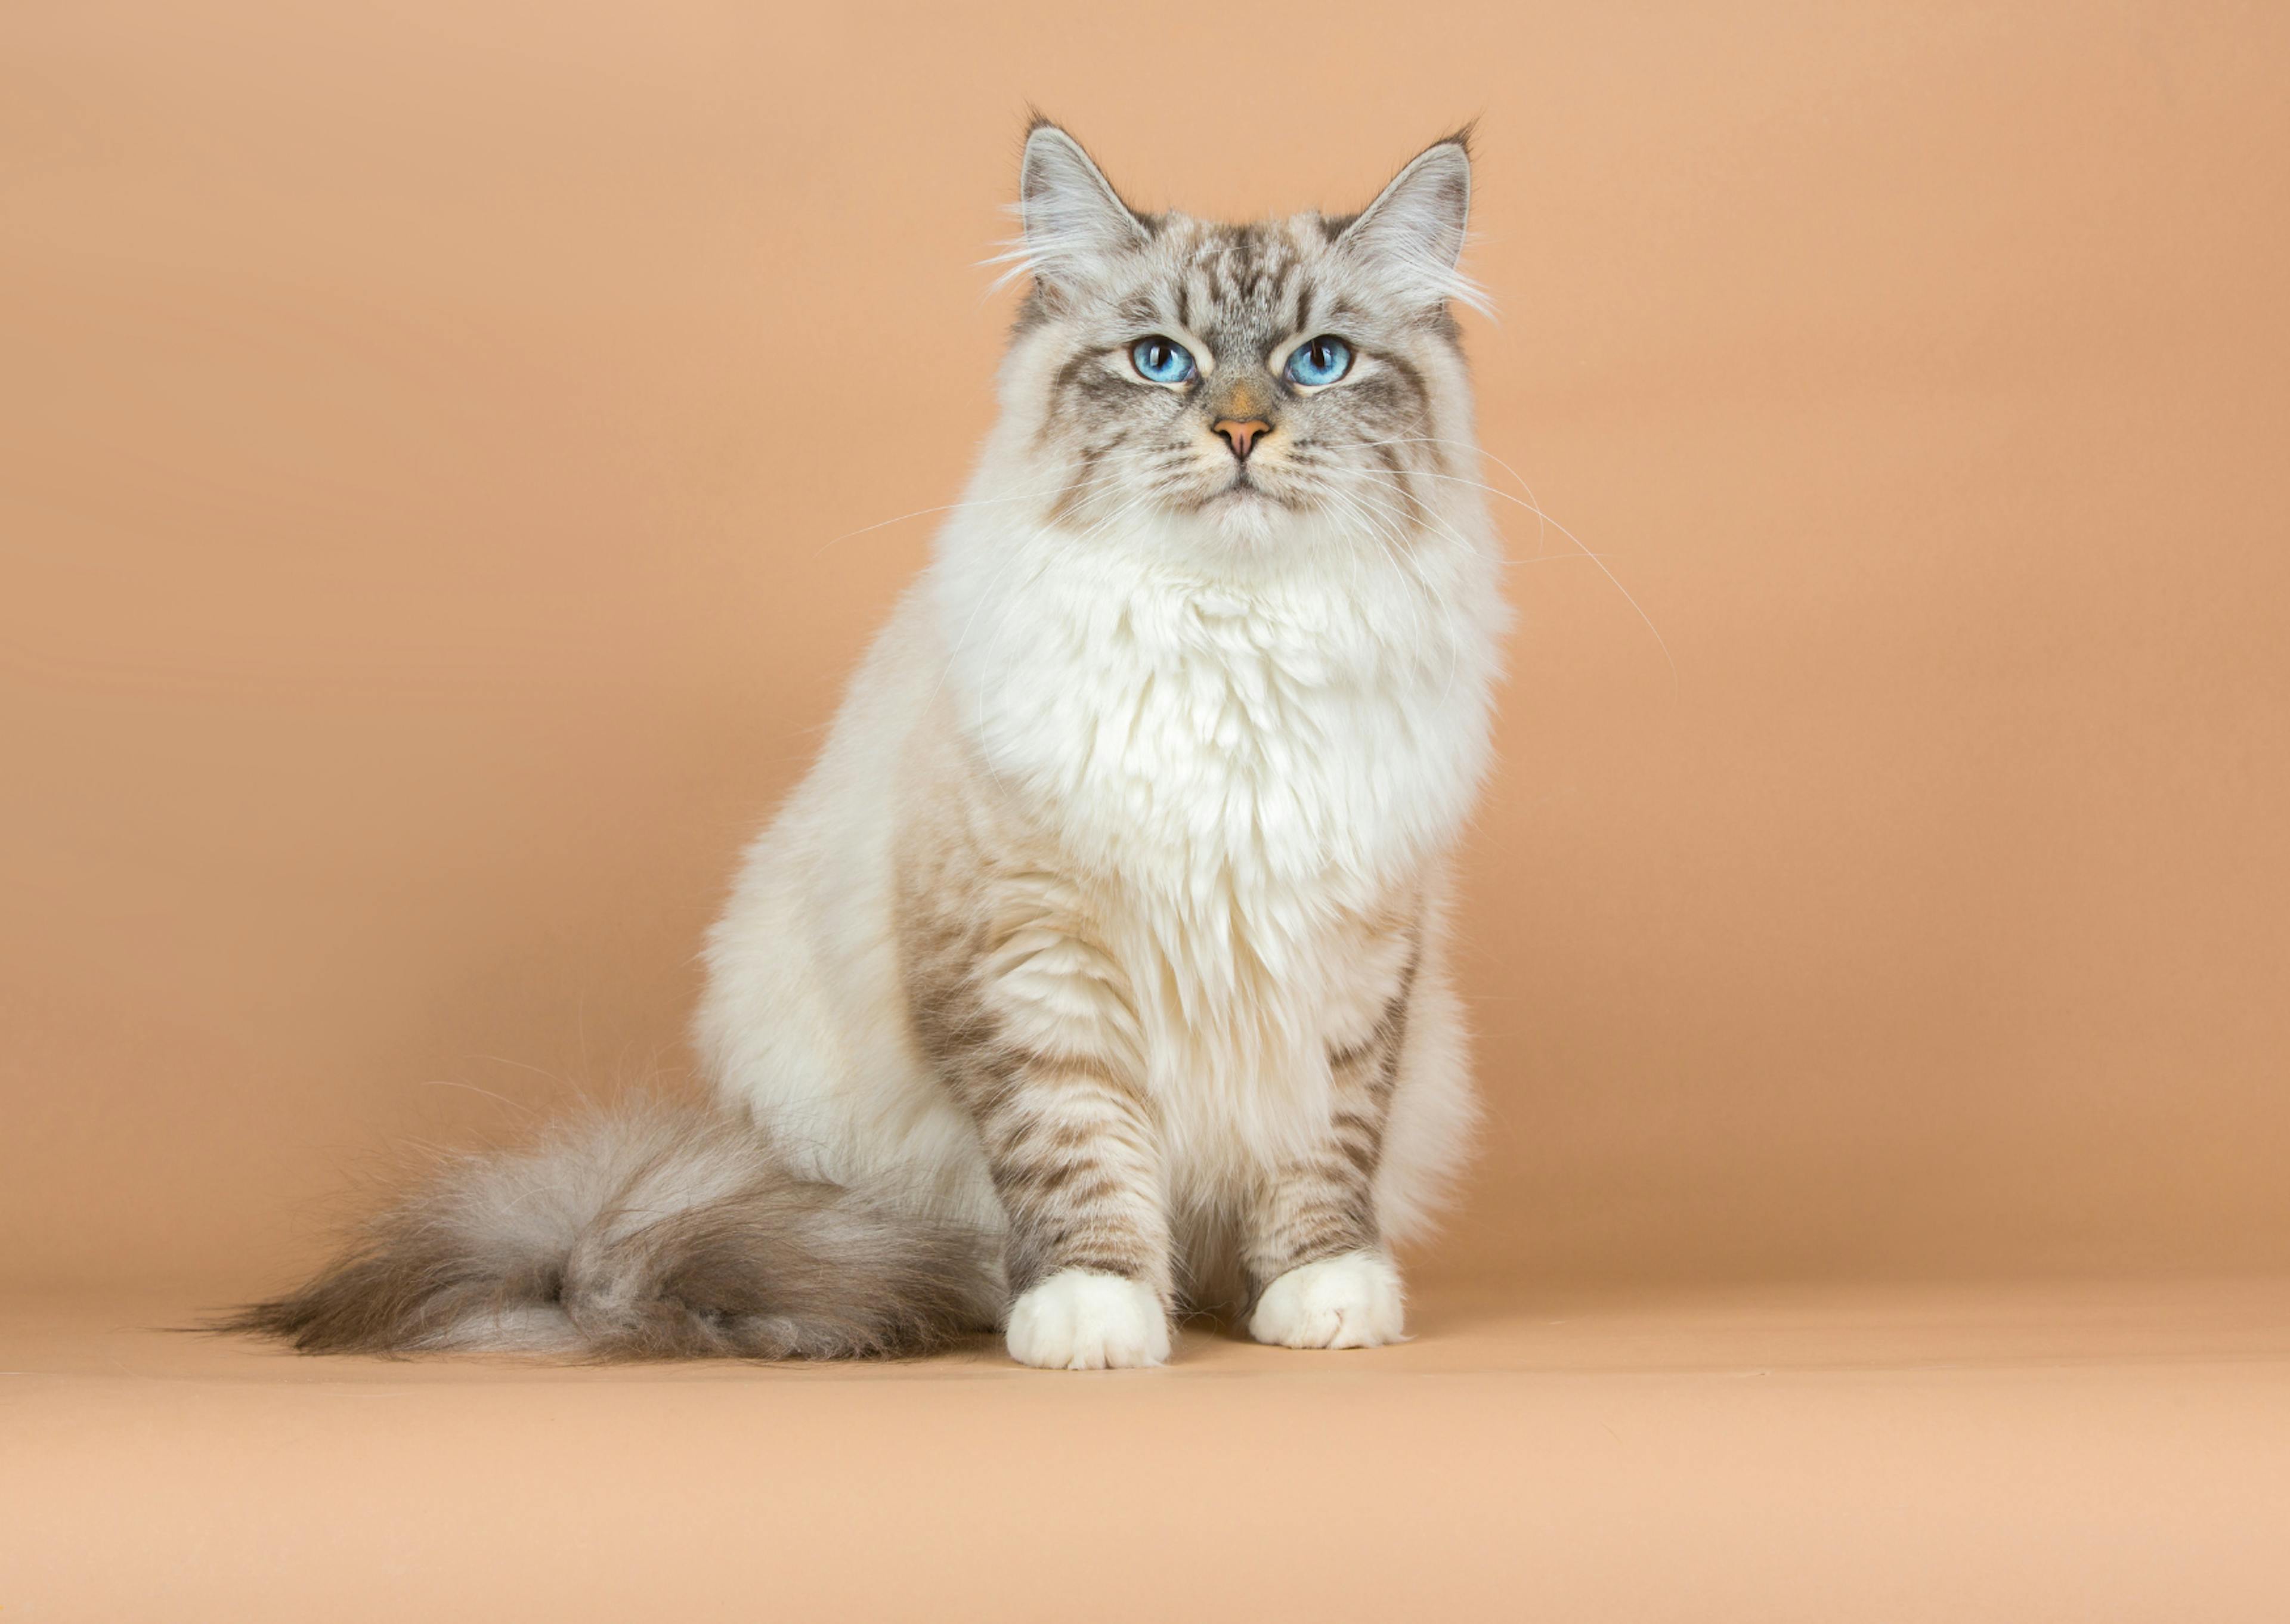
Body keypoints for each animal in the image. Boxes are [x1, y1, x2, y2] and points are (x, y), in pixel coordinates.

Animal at [232, 120, 1511, 1365]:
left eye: (1319, 361)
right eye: (1162, 359)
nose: (1242, 427)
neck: (1232, 634)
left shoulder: (1350, 972)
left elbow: (1320, 1158)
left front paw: (1322, 1294)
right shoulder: (1033, 963)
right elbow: (1080, 1152)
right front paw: (1094, 1310)